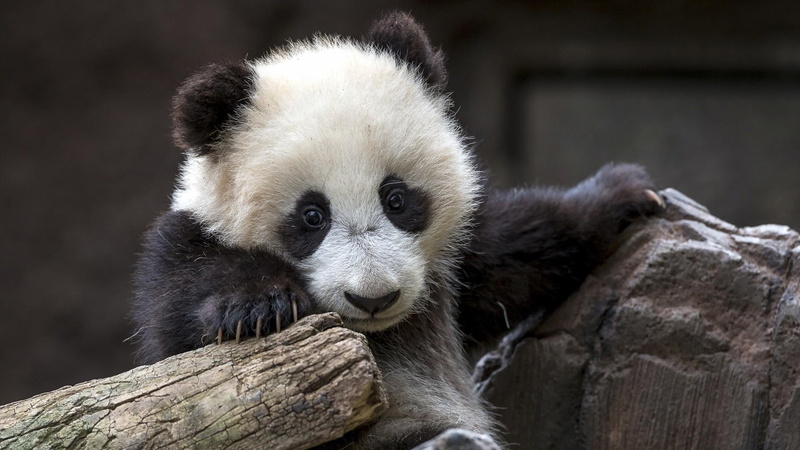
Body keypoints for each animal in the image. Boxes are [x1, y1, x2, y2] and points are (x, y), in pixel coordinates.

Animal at [133, 12, 662, 449]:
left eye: (396, 199)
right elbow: (180, 321)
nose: (374, 298)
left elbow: (517, 249)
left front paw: (625, 194)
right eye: (312, 216)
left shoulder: (453, 263)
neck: (376, 333)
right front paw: (258, 306)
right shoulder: (185, 243)